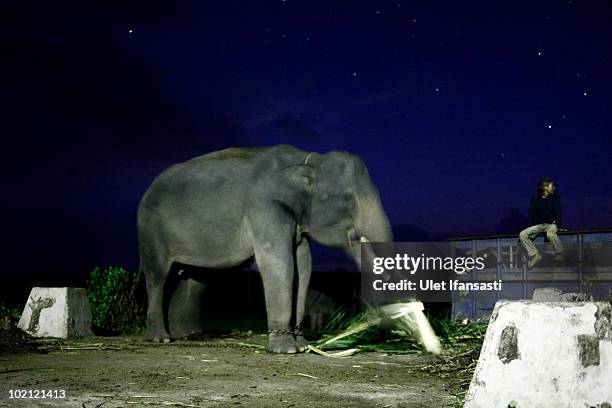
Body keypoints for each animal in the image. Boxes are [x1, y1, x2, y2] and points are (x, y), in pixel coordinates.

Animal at [137, 145, 392, 352]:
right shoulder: (266, 207)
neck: (307, 160)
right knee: (158, 276)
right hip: (150, 229)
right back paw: (161, 338)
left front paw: (302, 346)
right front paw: (285, 350)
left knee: (195, 279)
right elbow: (280, 263)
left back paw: (188, 335)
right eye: (349, 199)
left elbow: (304, 265)